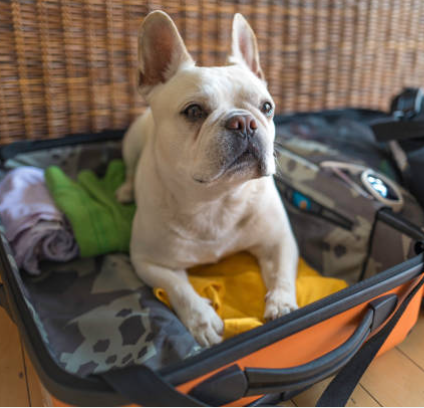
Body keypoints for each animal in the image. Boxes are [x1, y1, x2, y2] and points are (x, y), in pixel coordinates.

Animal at [116, 10, 299, 347]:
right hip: (131, 142)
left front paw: (281, 305)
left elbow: (281, 273)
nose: (245, 122)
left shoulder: (279, 240)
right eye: (193, 111)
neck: (217, 200)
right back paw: (124, 190)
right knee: (129, 167)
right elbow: (178, 289)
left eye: (267, 107)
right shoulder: (148, 261)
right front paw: (202, 321)